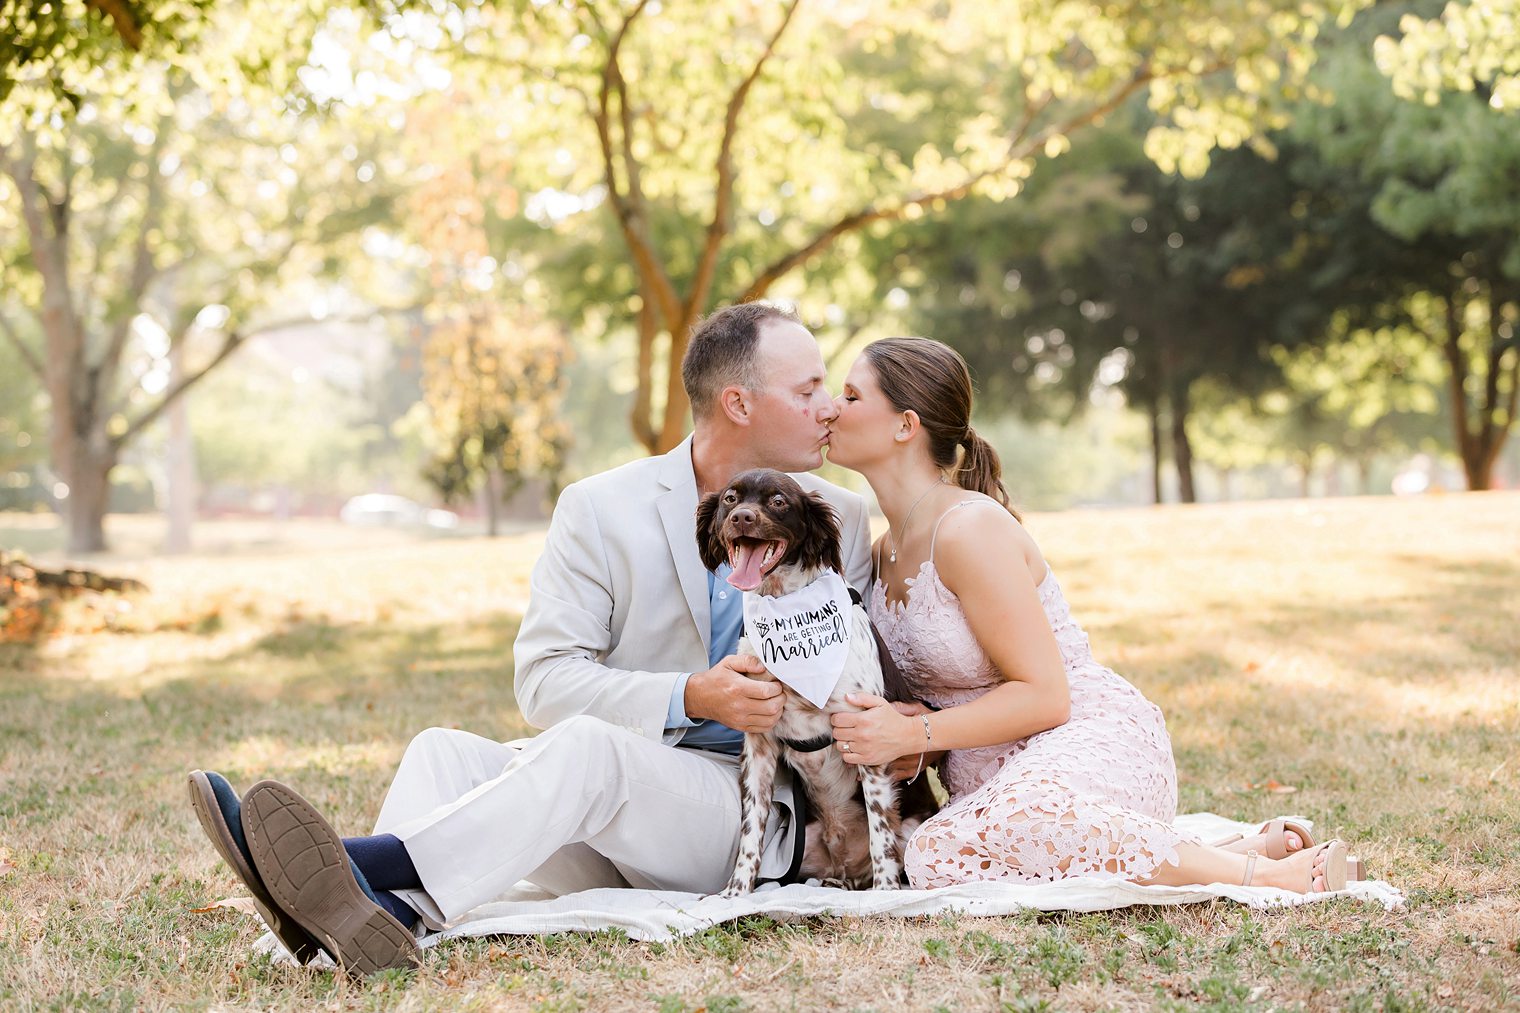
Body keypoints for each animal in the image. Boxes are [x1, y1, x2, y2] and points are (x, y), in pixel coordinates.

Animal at [699, 465, 936, 894]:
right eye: (730, 498)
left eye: (779, 501)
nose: (742, 517)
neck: (784, 605)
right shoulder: (758, 745)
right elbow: (750, 831)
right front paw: (734, 894)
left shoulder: (867, 734)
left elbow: (881, 832)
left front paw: (886, 896)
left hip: (912, 830)